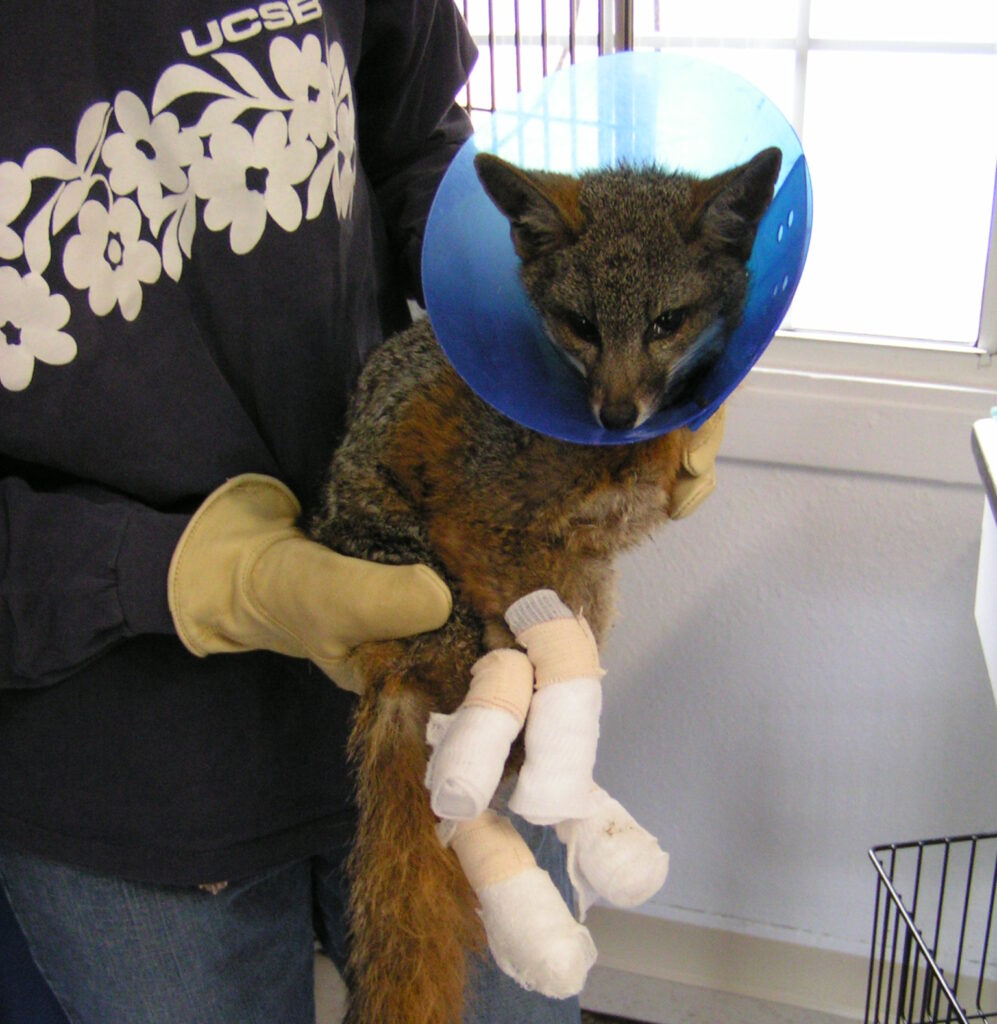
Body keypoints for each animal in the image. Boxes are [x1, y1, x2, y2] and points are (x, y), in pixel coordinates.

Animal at [309, 145, 781, 1024]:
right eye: (582, 326)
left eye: (665, 322)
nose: (617, 414)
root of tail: (384, 664)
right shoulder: (480, 526)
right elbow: (535, 638)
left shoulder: (585, 556)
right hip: (453, 602)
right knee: (478, 751)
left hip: (588, 590)